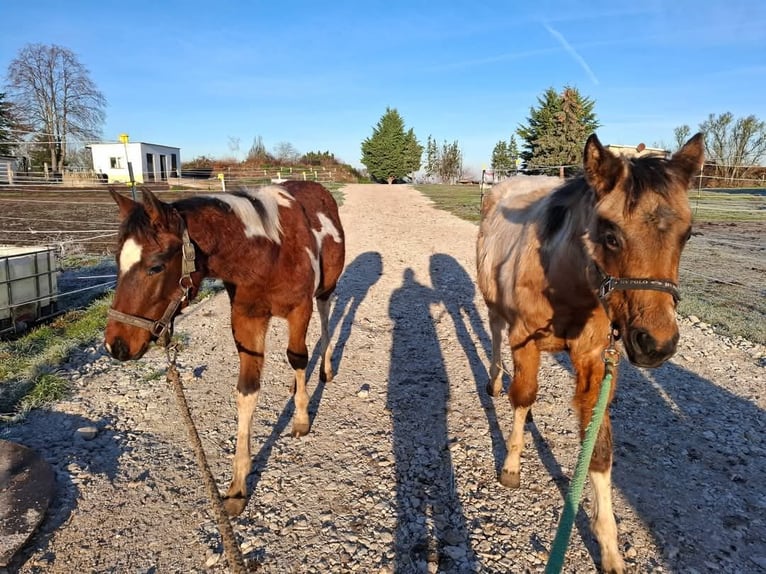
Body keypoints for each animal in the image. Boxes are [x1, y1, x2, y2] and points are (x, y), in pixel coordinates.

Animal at [104, 181, 344, 516]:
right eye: (117, 262)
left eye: (156, 267)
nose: (116, 345)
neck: (268, 252)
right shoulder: (246, 320)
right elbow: (247, 391)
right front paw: (238, 485)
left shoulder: (299, 310)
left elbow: (298, 356)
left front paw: (301, 419)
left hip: (324, 290)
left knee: (323, 321)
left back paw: (325, 369)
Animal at [480, 134, 708, 572]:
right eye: (610, 234)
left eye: (687, 234)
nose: (656, 344)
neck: (564, 282)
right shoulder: (524, 340)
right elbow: (524, 395)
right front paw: (512, 467)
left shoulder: (595, 361)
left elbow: (598, 449)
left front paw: (610, 548)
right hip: (496, 308)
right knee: (496, 335)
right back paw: (495, 381)